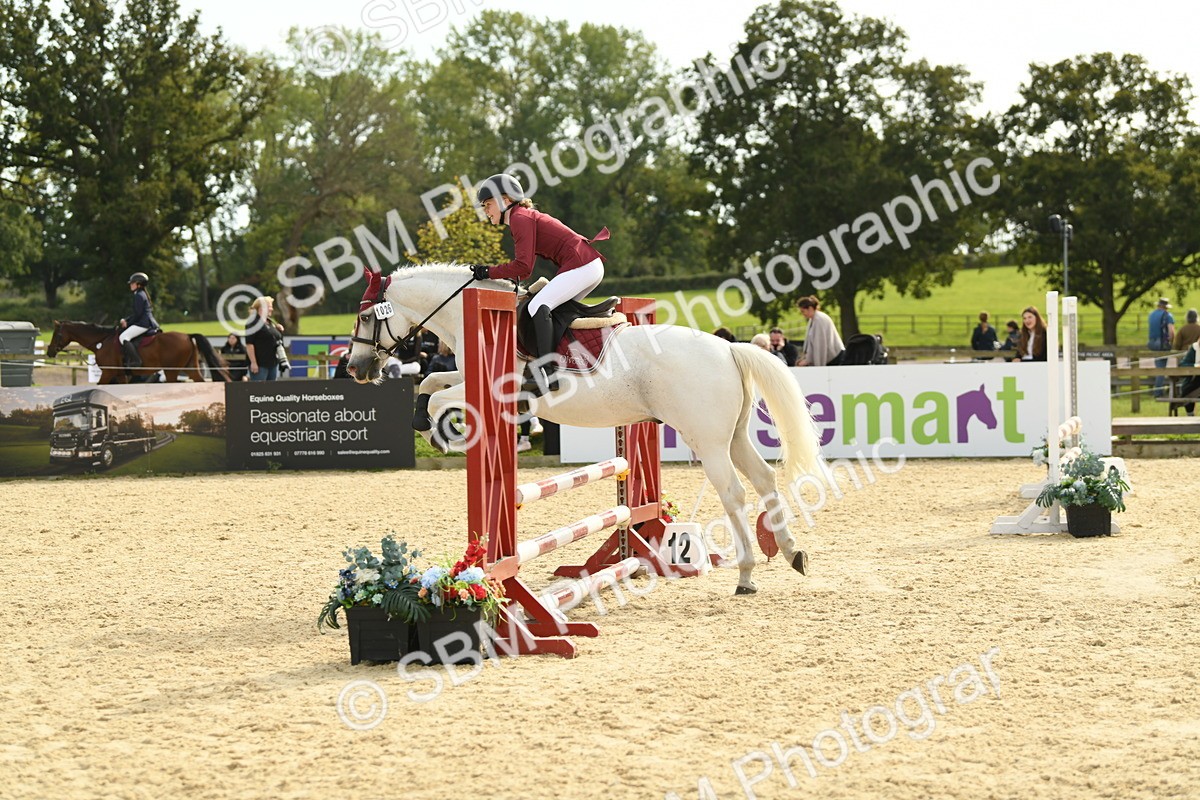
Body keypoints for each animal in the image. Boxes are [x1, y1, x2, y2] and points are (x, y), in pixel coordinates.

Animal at [46, 321, 231, 384]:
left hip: (172, 371)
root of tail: (187, 335)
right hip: (190, 368)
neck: (101, 341)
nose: (49, 351)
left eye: (56, 334)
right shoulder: (120, 375)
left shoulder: (108, 373)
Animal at [345, 264, 825, 595]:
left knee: (734, 493)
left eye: (365, 317)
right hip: (734, 435)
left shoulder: (491, 386)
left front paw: (435, 429)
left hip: (707, 440)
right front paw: (429, 424)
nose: (355, 369)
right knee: (763, 479)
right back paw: (792, 552)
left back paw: (746, 574)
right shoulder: (463, 375)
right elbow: (430, 382)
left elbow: (437, 397)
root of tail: (728, 348)